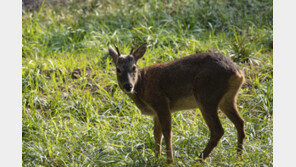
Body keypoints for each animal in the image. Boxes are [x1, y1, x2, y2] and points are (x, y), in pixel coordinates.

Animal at [107, 42, 246, 163]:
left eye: (134, 67)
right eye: (118, 69)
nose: (128, 86)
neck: (142, 85)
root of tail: (238, 72)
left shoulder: (161, 102)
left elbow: (167, 132)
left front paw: (169, 161)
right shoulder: (155, 112)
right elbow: (156, 134)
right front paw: (156, 158)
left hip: (206, 96)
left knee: (218, 130)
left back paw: (199, 159)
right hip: (227, 99)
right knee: (240, 122)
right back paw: (238, 156)